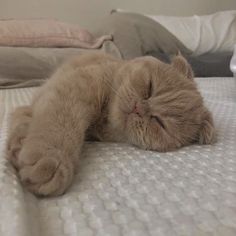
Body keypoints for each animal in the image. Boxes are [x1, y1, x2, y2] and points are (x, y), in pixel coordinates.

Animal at [6, 52, 216, 197]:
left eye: (160, 123)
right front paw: (50, 157)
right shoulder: (73, 87)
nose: (139, 108)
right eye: (150, 87)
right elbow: (59, 121)